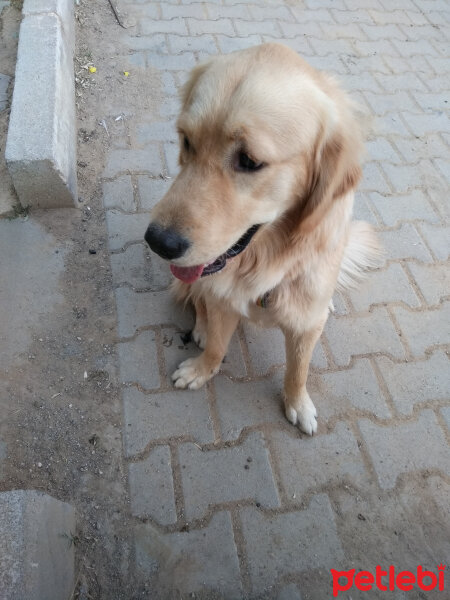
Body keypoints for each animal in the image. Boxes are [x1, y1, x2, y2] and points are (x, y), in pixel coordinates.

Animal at [144, 43, 380, 436]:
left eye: (249, 160)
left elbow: (298, 370)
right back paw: (202, 328)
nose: (158, 242)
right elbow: (216, 345)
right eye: (187, 141)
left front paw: (297, 404)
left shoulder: (306, 324)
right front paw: (201, 368)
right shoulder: (221, 294)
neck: (265, 262)